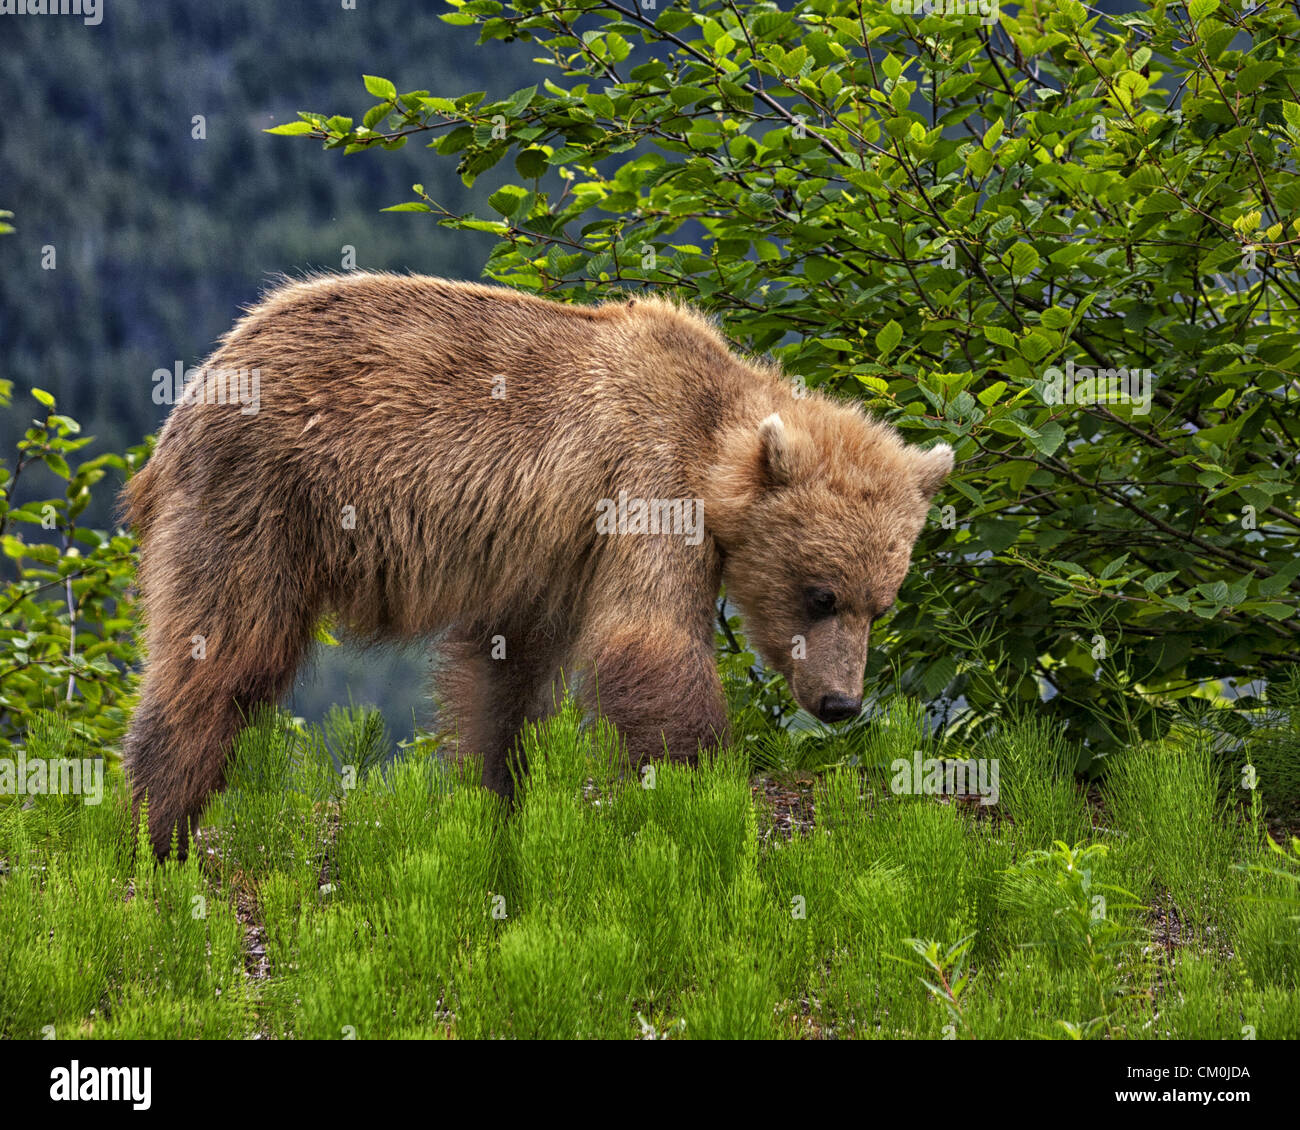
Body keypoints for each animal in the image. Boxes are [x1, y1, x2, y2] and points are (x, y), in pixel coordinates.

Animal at [122, 272, 953, 859]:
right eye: (821, 594)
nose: (841, 702)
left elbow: (506, 672)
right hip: (260, 500)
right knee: (222, 654)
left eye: (880, 605)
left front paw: (501, 802)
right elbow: (648, 645)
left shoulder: (556, 552)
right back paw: (158, 828)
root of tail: (198, 383)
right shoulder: (648, 487)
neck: (715, 444)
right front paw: (709, 799)